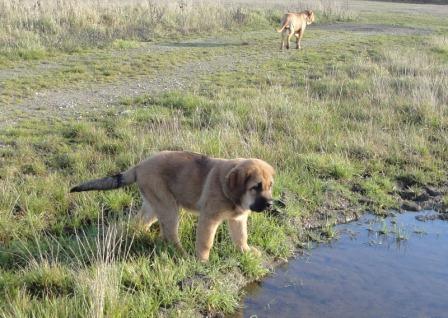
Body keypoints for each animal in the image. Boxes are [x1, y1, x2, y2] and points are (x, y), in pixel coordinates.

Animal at [70, 151, 274, 260]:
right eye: (255, 187)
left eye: (270, 186)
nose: (271, 204)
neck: (231, 193)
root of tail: (139, 166)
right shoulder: (209, 219)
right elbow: (206, 242)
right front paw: (202, 261)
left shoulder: (238, 219)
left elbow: (241, 237)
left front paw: (246, 251)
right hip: (169, 208)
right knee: (170, 234)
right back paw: (182, 254)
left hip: (154, 205)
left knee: (140, 223)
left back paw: (144, 235)